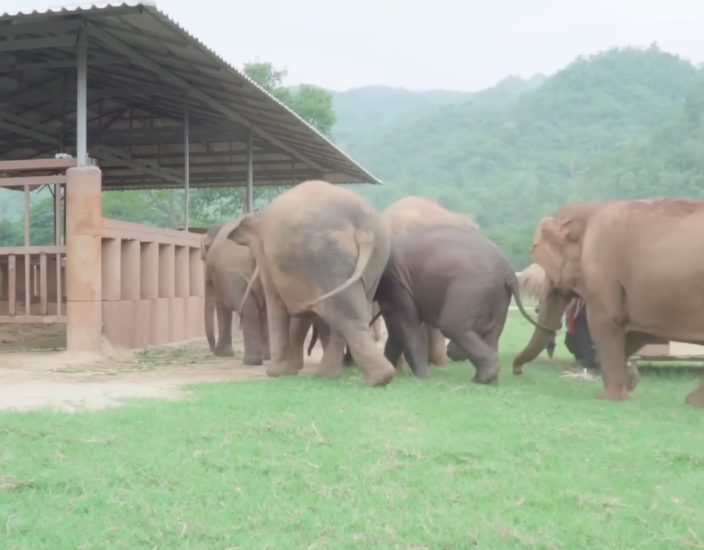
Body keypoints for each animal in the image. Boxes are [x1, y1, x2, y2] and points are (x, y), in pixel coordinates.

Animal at [192, 220, 272, 366]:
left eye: (203, 259)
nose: (212, 351)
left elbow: (221, 306)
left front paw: (222, 354)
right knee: (265, 310)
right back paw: (267, 357)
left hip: (237, 274)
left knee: (249, 310)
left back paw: (251, 361)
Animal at [223, 181, 396, 388]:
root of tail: (365, 225)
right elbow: (302, 314)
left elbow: (276, 302)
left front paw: (276, 373)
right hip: (376, 258)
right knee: (352, 312)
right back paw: (341, 376)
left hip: (325, 257)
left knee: (343, 314)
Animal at [374, 224, 552, 384]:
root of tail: (510, 272)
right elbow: (396, 328)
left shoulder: (396, 281)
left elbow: (407, 323)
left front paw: (422, 378)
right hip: (499, 297)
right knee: (492, 332)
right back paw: (487, 381)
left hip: (472, 287)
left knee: (452, 325)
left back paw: (482, 378)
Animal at [512, 201, 704, 408]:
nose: (518, 371)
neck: (589, 209)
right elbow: (632, 334)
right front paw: (630, 383)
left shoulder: (602, 270)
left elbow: (604, 324)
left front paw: (610, 397)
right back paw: (693, 402)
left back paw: (692, 402)